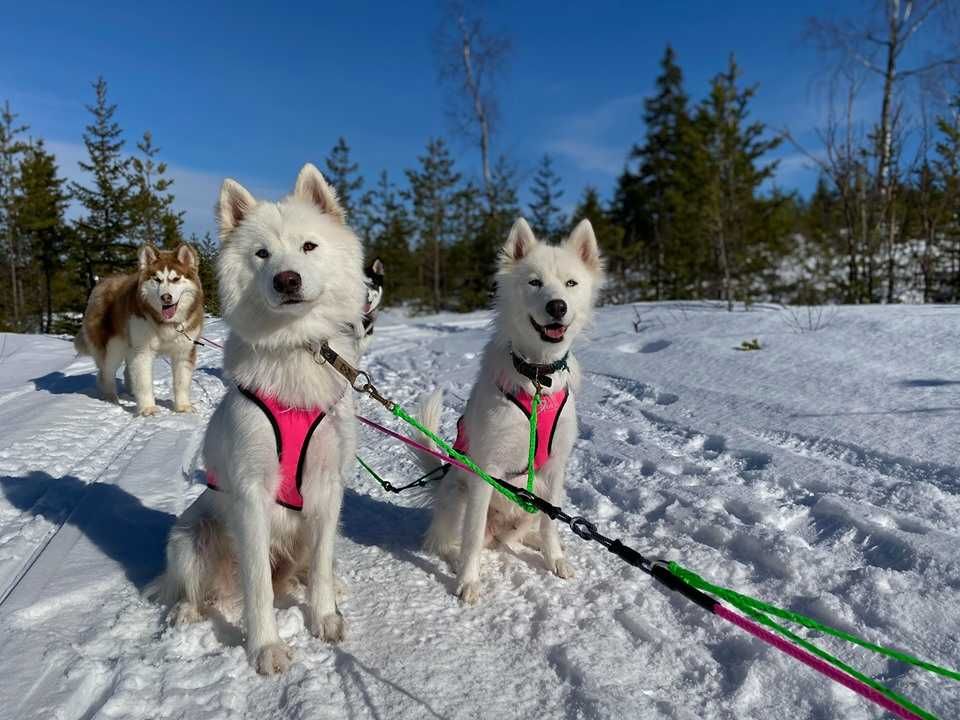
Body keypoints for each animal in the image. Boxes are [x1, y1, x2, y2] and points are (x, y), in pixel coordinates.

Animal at [152, 163, 366, 676]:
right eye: (262, 254)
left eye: (309, 246)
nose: (286, 279)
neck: (295, 348)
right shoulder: (251, 493)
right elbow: (259, 588)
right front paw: (266, 647)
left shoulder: (328, 486)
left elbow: (322, 564)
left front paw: (325, 616)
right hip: (191, 539)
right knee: (195, 588)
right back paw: (186, 612)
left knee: (309, 568)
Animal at [414, 218, 608, 600]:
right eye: (534, 282)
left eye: (571, 284)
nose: (557, 306)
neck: (536, 379)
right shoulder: (486, 470)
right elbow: (472, 537)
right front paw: (468, 581)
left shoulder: (555, 470)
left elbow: (551, 525)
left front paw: (555, 558)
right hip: (459, 494)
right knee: (449, 541)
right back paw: (455, 559)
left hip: (534, 499)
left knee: (526, 529)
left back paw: (533, 541)